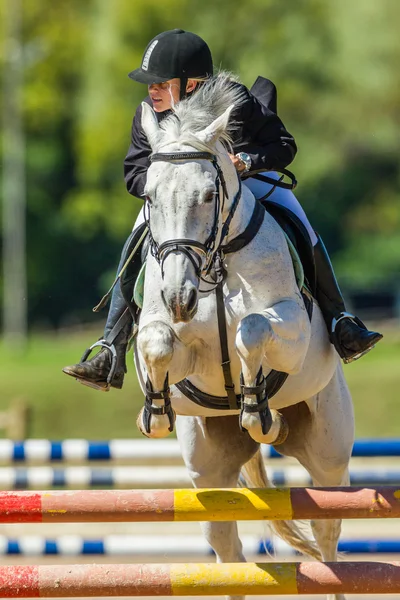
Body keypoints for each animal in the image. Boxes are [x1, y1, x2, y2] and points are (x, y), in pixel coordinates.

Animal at [134, 76, 354, 600]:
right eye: (149, 194)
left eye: (208, 195)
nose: (178, 296)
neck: (213, 266)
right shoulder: (174, 351)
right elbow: (157, 343)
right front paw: (156, 411)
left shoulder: (291, 330)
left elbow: (252, 331)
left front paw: (256, 408)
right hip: (208, 473)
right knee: (227, 550)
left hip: (330, 457)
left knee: (328, 535)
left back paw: (271, 424)